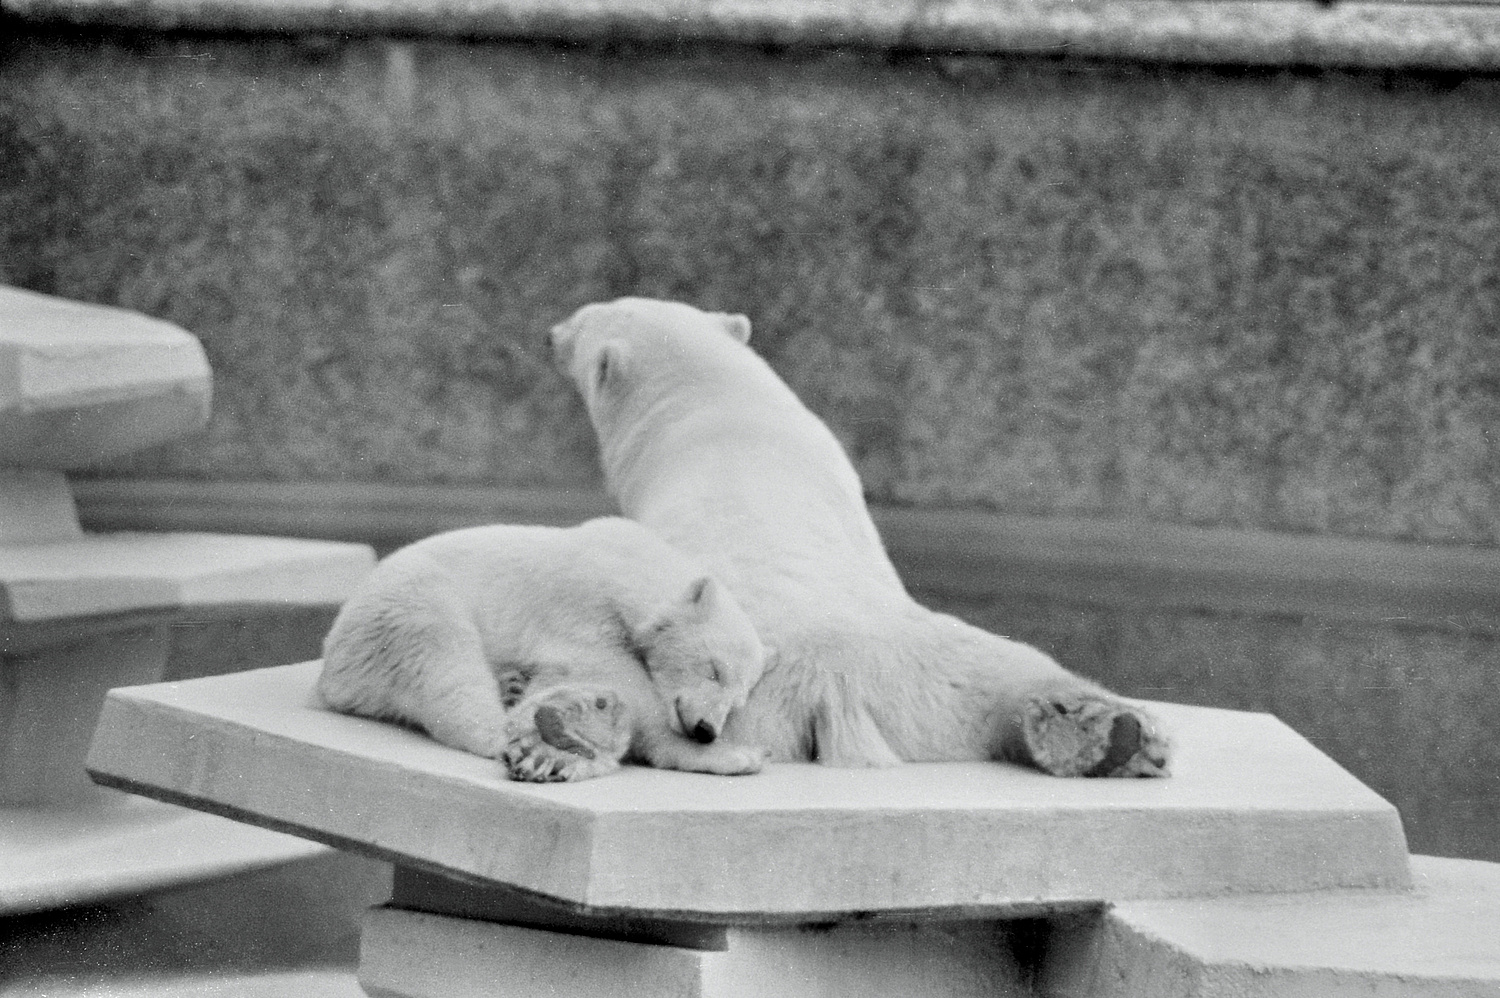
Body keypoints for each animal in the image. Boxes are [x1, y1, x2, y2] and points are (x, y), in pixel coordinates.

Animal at [313, 516, 762, 780]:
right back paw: (537, 744)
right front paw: (734, 756)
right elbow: (617, 678)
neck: (623, 566)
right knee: (446, 664)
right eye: (713, 669)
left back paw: (515, 690)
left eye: (738, 701)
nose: (706, 730)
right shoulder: (579, 607)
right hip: (405, 608)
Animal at [552, 297, 1170, 780]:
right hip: (943, 675)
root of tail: (832, 682)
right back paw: (1117, 735)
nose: (554, 331)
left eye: (586, 318)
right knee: (1015, 674)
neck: (716, 399)